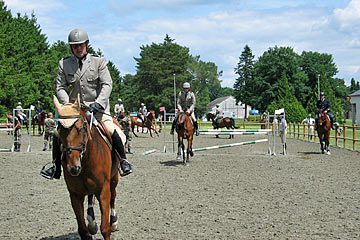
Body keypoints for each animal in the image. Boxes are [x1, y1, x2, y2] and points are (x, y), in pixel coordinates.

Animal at [53, 96, 119, 240]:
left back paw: (114, 222)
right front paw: (90, 227)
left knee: (113, 196)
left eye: (80, 128)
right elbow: (83, 230)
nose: (73, 167)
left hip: (114, 179)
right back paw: (91, 222)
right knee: (90, 196)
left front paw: (109, 225)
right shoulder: (75, 194)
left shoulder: (103, 190)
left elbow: (105, 228)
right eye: (59, 131)